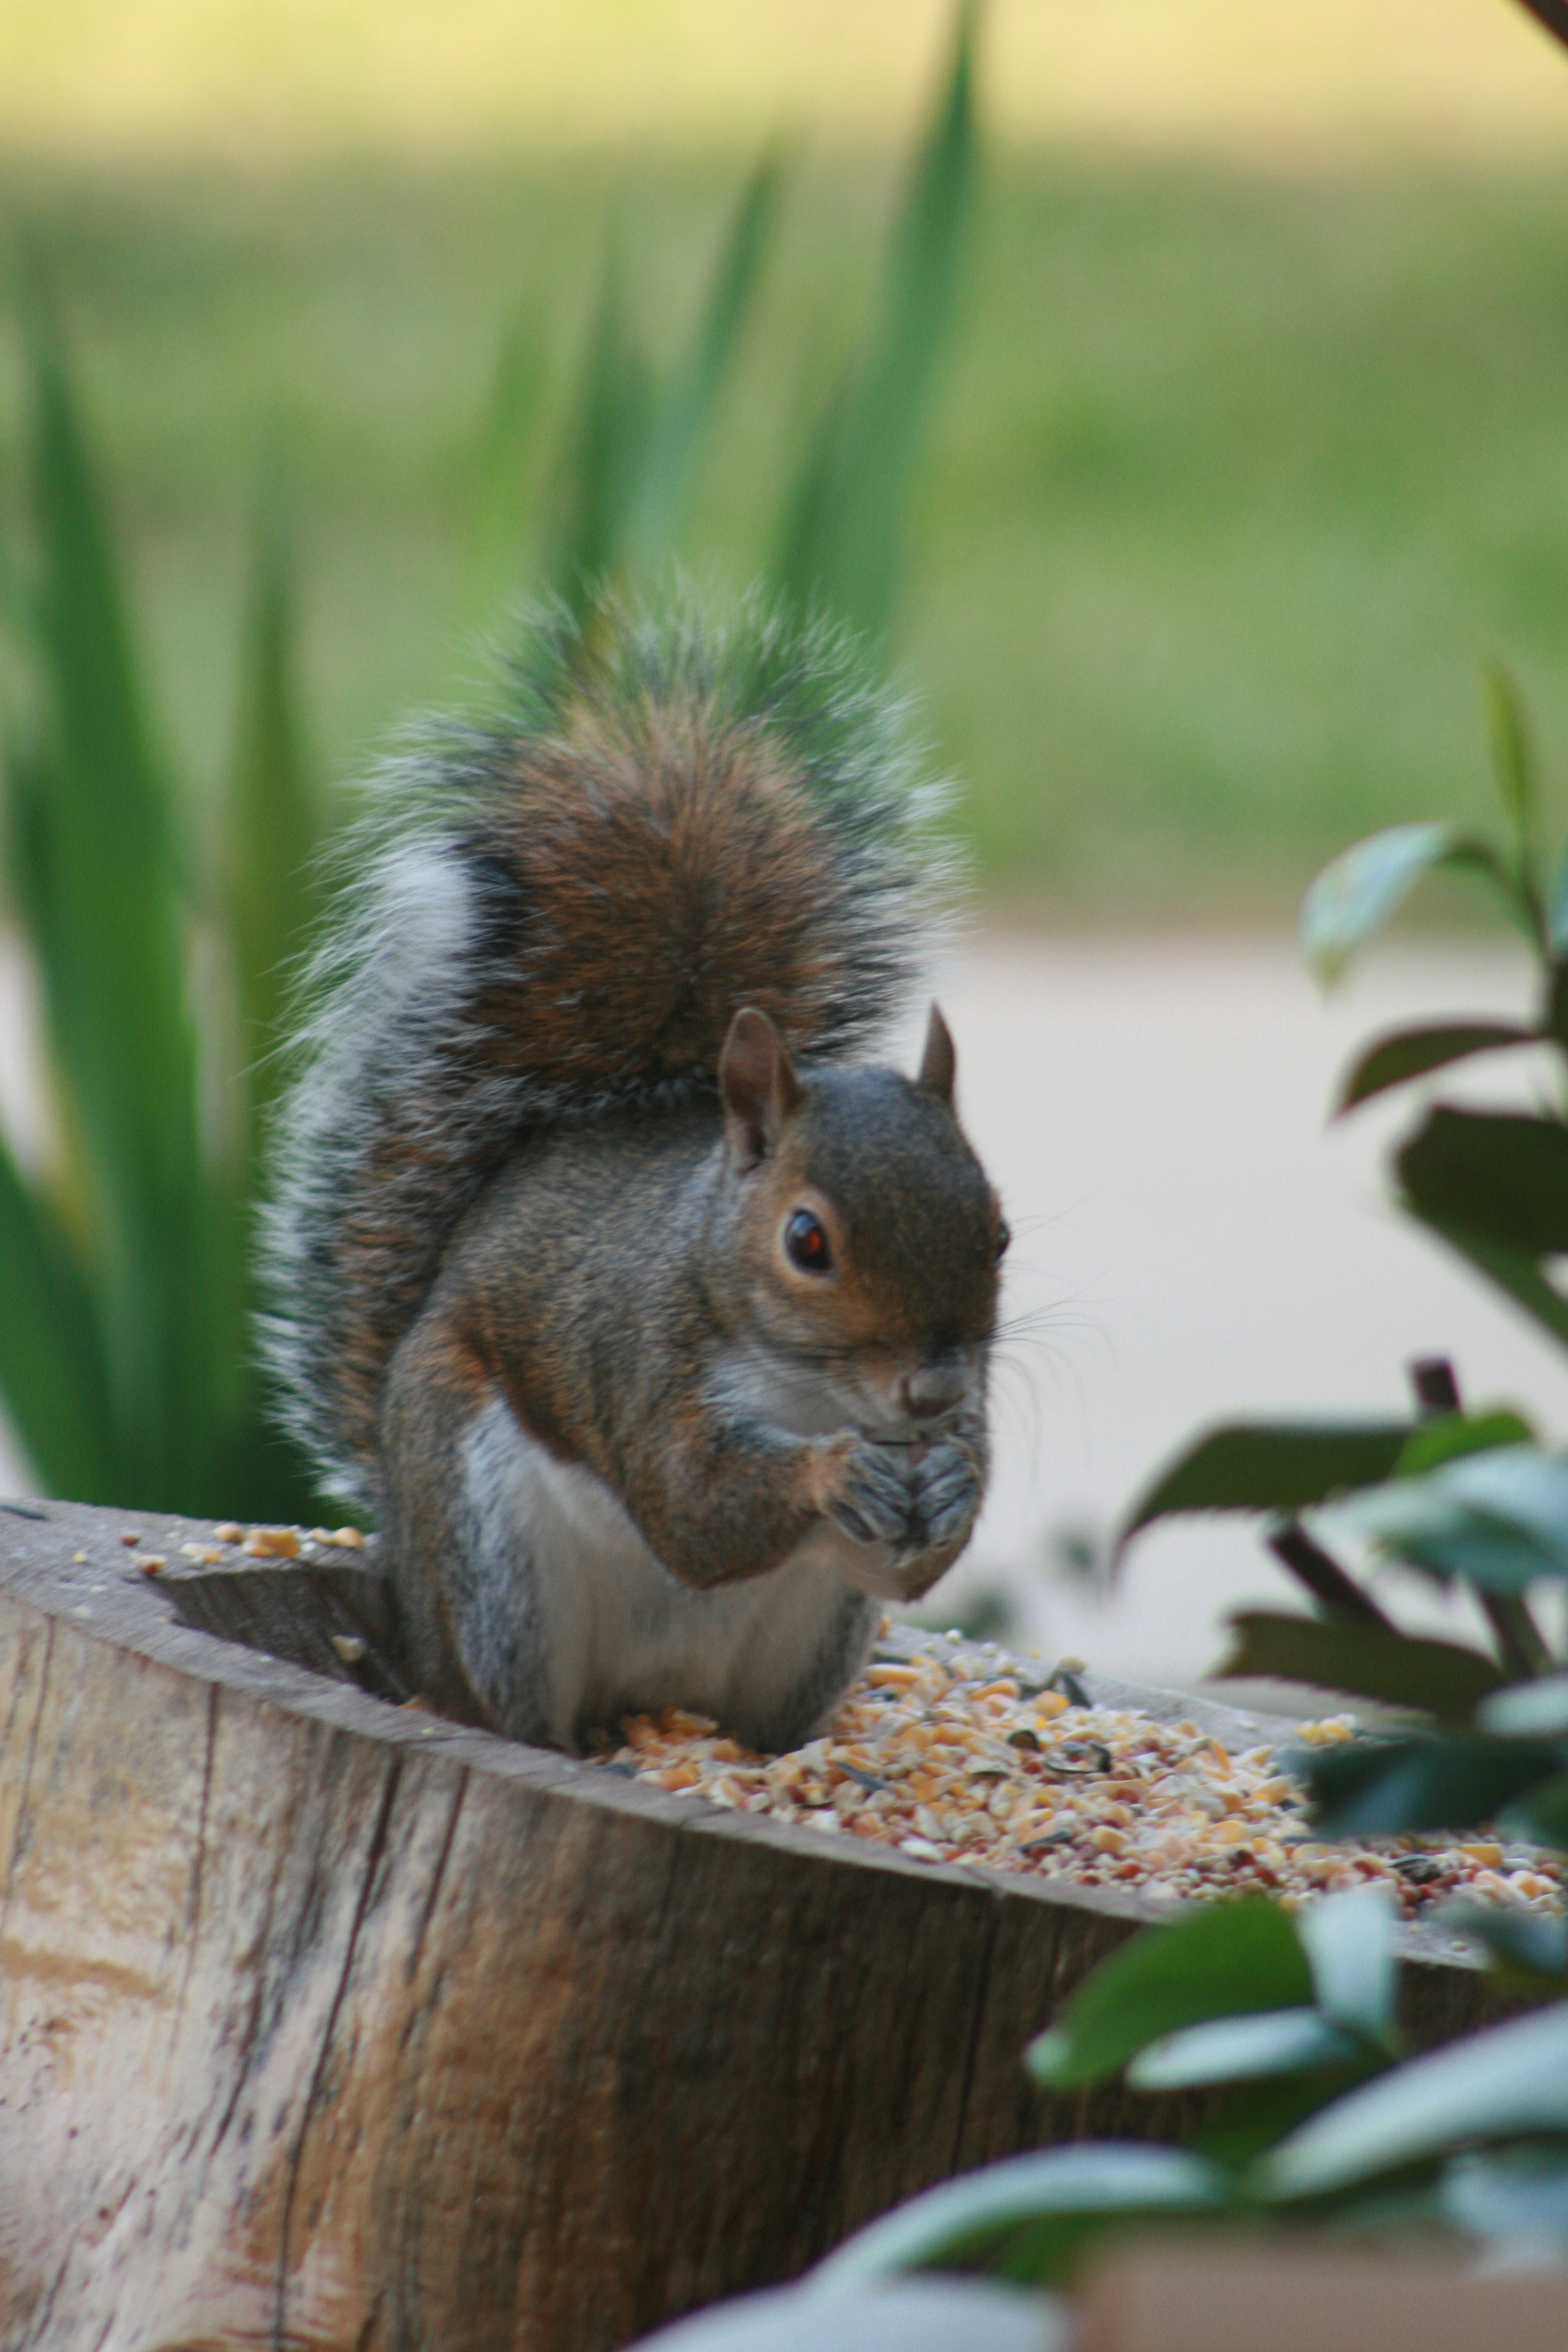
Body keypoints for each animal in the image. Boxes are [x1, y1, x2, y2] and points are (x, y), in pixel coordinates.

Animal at [261, 593, 1007, 1755]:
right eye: (806, 1241)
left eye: (998, 1231)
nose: (930, 1392)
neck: (809, 1387)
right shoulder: (641, 1357)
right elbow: (692, 1510)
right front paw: (831, 1468)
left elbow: (918, 1570)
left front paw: (961, 1483)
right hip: (486, 1544)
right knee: (505, 1699)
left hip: (812, 1630)